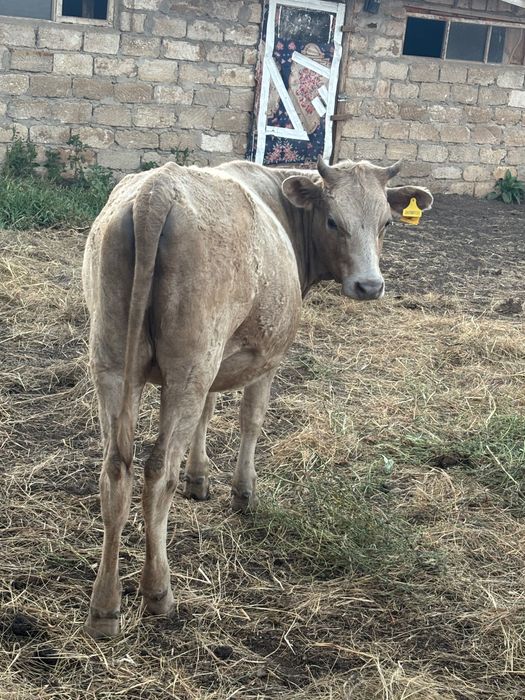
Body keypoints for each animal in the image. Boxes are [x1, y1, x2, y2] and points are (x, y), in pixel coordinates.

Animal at [82, 157, 433, 637]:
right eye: (332, 220)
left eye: (386, 223)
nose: (369, 285)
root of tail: (158, 189)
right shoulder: (267, 357)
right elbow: (252, 418)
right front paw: (243, 492)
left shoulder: (215, 367)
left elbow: (209, 413)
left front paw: (199, 479)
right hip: (187, 367)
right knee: (156, 473)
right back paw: (159, 593)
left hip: (116, 363)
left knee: (116, 472)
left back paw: (104, 608)